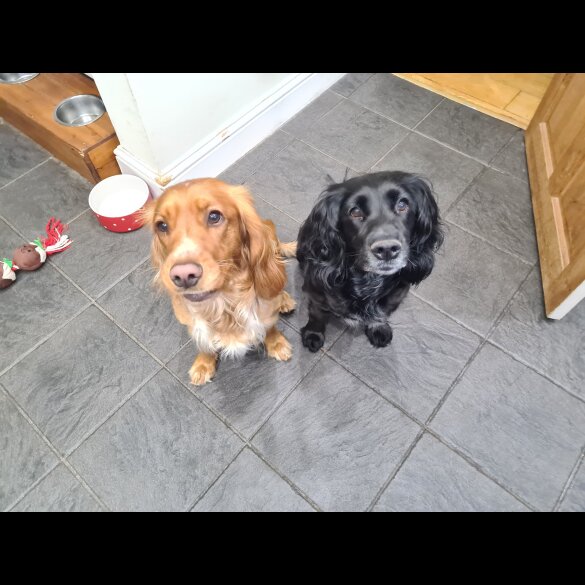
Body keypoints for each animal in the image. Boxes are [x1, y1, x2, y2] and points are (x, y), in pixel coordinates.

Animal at [141, 180, 296, 386]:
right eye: (162, 226)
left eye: (214, 216)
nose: (183, 275)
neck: (224, 304)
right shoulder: (194, 323)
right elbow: (204, 343)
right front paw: (203, 364)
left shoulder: (266, 309)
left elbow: (270, 327)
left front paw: (276, 344)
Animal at [296, 169, 442, 352]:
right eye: (355, 212)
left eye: (402, 205)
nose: (387, 249)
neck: (368, 281)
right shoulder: (316, 294)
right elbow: (317, 316)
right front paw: (313, 335)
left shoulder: (395, 296)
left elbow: (381, 315)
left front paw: (379, 329)